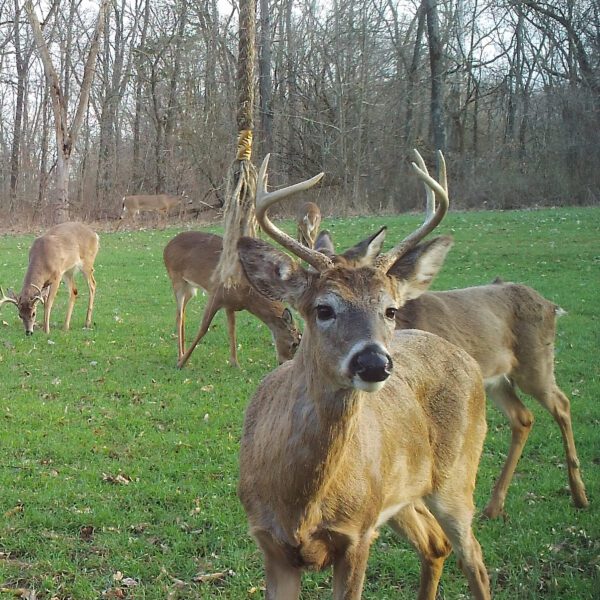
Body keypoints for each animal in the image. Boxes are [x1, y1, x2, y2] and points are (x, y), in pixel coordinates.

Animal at [163, 231, 300, 368]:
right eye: (294, 343)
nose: (284, 362)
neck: (247, 296)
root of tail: (167, 246)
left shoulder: (230, 305)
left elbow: (232, 330)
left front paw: (235, 363)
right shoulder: (216, 294)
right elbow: (203, 328)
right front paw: (182, 363)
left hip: (190, 289)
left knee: (182, 315)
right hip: (177, 281)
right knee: (179, 317)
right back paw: (180, 356)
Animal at [237, 154, 490, 600]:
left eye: (390, 310)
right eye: (323, 308)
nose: (374, 363)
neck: (300, 500)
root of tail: (466, 359)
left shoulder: (358, 534)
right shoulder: (269, 541)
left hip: (456, 477)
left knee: (473, 557)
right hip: (402, 495)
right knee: (435, 544)